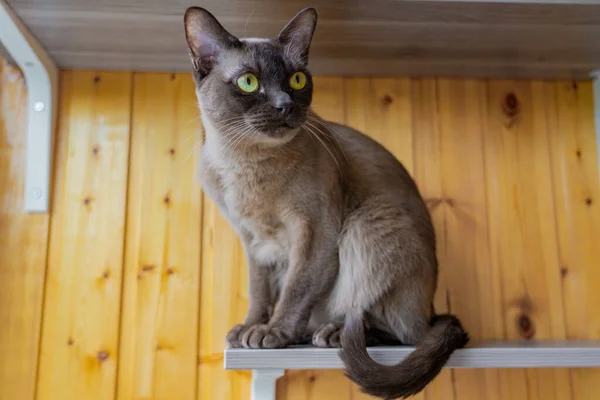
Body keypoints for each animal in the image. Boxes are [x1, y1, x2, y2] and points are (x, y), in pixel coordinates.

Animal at [183, 7, 468, 398]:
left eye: (297, 79)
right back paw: (304, 332)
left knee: (405, 331)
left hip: (369, 223)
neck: (246, 165)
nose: (284, 105)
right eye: (249, 82)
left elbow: (295, 288)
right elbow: (259, 292)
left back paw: (333, 333)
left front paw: (271, 333)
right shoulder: (253, 241)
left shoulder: (315, 232)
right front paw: (248, 329)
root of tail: (433, 307)